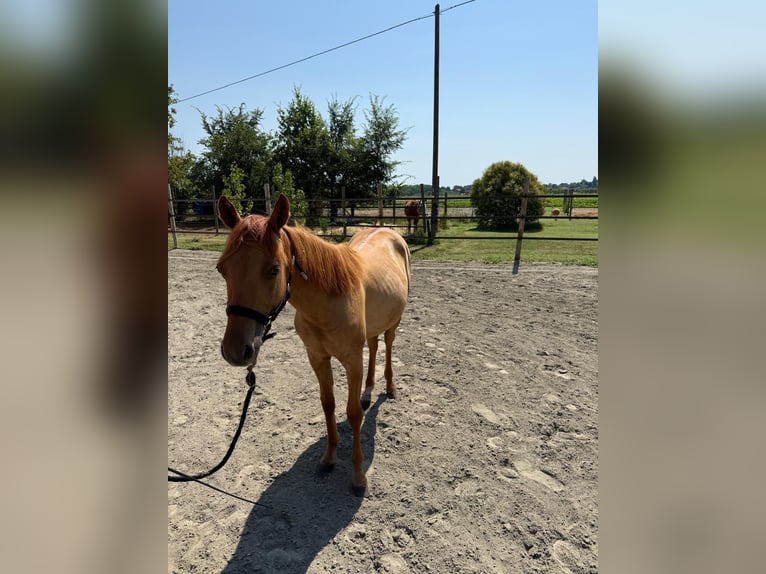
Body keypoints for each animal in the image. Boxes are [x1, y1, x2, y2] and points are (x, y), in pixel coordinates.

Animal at [216, 194, 411, 495]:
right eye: (222, 268)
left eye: (274, 269)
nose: (236, 351)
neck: (327, 302)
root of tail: (389, 232)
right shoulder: (317, 357)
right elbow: (328, 404)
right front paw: (328, 459)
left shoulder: (352, 360)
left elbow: (353, 413)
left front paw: (358, 477)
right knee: (374, 346)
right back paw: (368, 392)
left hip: (394, 321)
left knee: (387, 347)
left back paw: (389, 387)